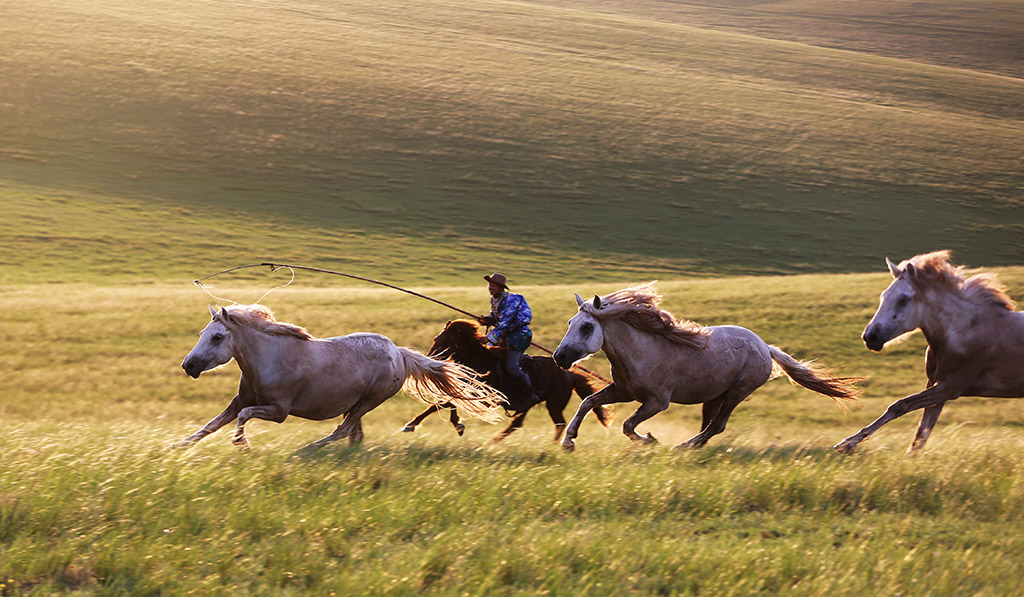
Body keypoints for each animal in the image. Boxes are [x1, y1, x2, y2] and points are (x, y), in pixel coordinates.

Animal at [181, 305, 507, 450]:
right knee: (354, 433)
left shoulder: (278, 411)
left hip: (369, 401)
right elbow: (211, 425)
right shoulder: (241, 400)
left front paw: (242, 445)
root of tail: (399, 352)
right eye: (203, 333)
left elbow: (243, 417)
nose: (188, 365)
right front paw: (178, 447)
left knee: (343, 429)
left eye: (218, 337)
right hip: (357, 403)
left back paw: (309, 449)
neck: (269, 358)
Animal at [399, 319, 610, 442]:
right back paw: (496, 440)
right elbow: (443, 403)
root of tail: (568, 374)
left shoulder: (485, 398)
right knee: (518, 422)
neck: (479, 360)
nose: (430, 356)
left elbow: (448, 402)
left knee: (559, 423)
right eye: (437, 338)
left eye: (446, 341)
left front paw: (457, 425)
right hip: (533, 405)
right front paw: (412, 424)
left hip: (554, 404)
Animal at [557, 282, 860, 450]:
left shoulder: (657, 402)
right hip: (715, 396)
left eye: (587, 326)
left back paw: (683, 447)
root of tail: (765, 347)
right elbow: (588, 403)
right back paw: (693, 447)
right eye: (570, 322)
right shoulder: (624, 391)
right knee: (710, 425)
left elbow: (628, 425)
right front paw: (568, 442)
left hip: (738, 392)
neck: (642, 351)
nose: (559, 357)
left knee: (717, 426)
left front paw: (650, 440)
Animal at [831, 250, 1024, 452]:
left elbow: (900, 406)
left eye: (903, 299)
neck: (963, 330)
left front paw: (848, 443)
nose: (870, 336)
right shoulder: (935, 384)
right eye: (883, 296)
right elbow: (922, 433)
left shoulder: (951, 387)